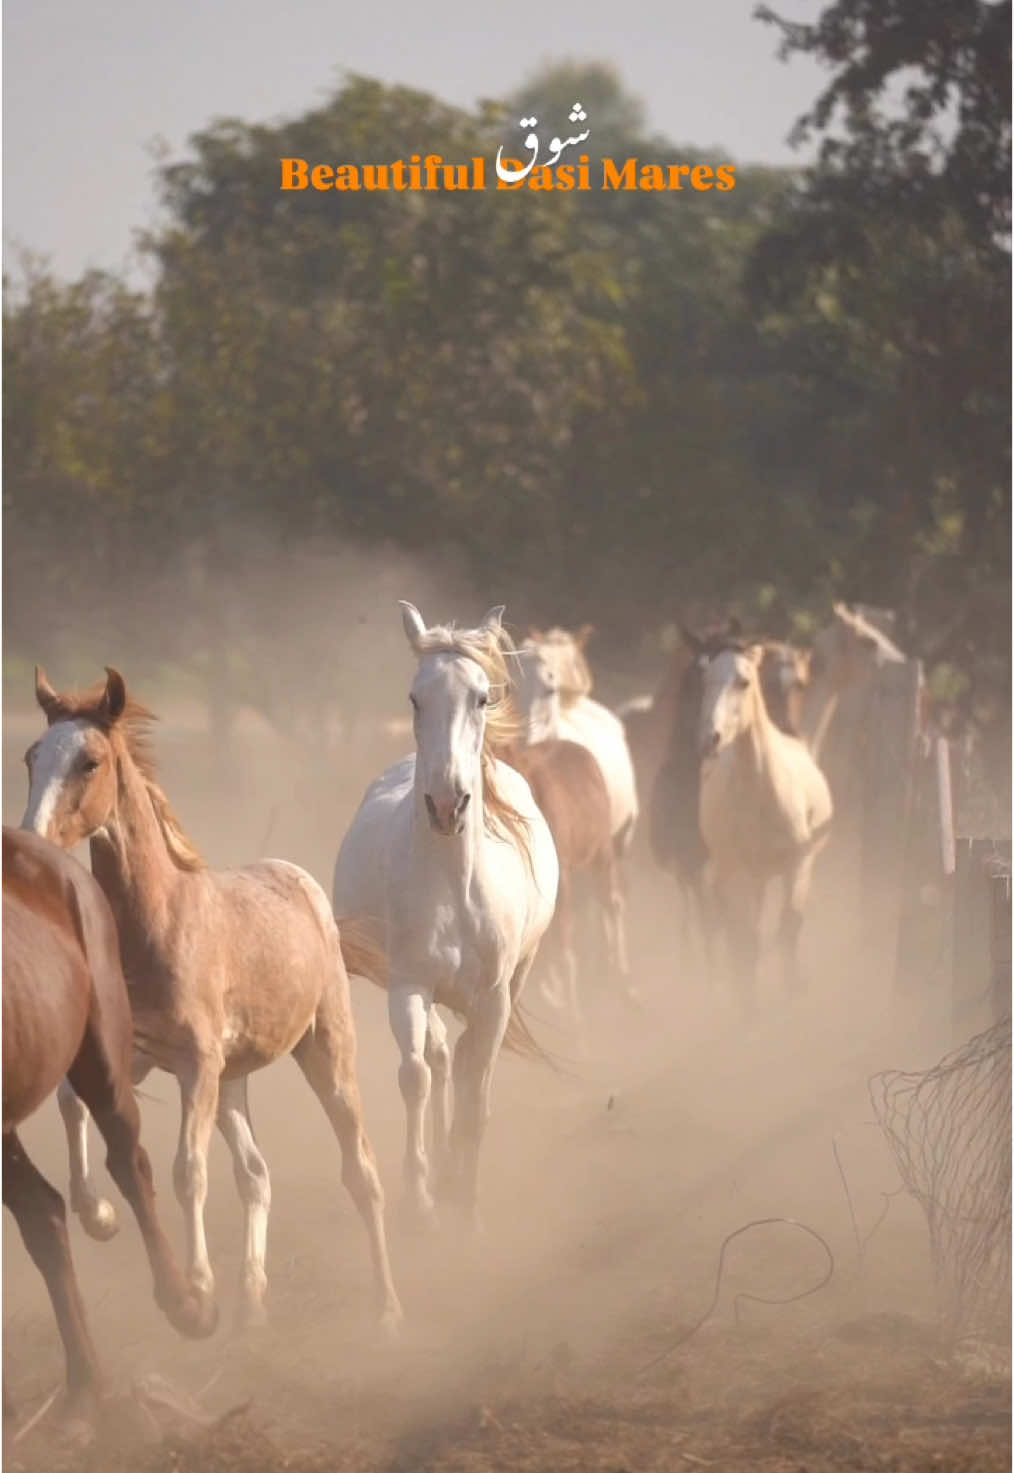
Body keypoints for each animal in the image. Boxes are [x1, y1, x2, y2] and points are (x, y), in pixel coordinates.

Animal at [21, 668, 400, 1337]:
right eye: (32, 757)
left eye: (89, 762)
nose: (29, 841)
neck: (157, 922)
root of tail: (306, 889)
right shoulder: (136, 1057)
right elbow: (70, 1104)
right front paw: (98, 1215)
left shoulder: (195, 1065)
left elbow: (187, 1170)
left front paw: (197, 1287)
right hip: (233, 1081)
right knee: (256, 1174)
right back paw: (253, 1303)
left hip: (325, 1055)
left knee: (362, 1171)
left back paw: (386, 1309)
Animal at [333, 600, 554, 1231]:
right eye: (415, 697)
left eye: (482, 697)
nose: (446, 804)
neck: (457, 888)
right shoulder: (409, 986)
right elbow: (417, 1075)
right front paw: (420, 1197)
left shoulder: (495, 997)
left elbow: (477, 1091)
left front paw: (467, 1203)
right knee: (437, 1057)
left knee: (465, 1063)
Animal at [695, 645, 831, 1013]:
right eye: (706, 679)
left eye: (744, 681)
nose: (710, 738)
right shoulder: (737, 872)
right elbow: (744, 939)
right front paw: (748, 1007)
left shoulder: (796, 866)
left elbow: (788, 927)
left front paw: (791, 991)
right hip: (735, 874)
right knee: (726, 927)